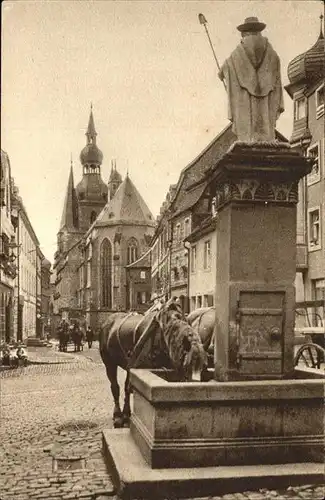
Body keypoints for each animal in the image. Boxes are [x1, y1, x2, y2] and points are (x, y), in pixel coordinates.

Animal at [98, 298, 208, 428]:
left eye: (185, 320)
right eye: (173, 328)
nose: (192, 345)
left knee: (125, 387)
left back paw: (126, 414)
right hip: (109, 362)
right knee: (115, 387)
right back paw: (117, 416)